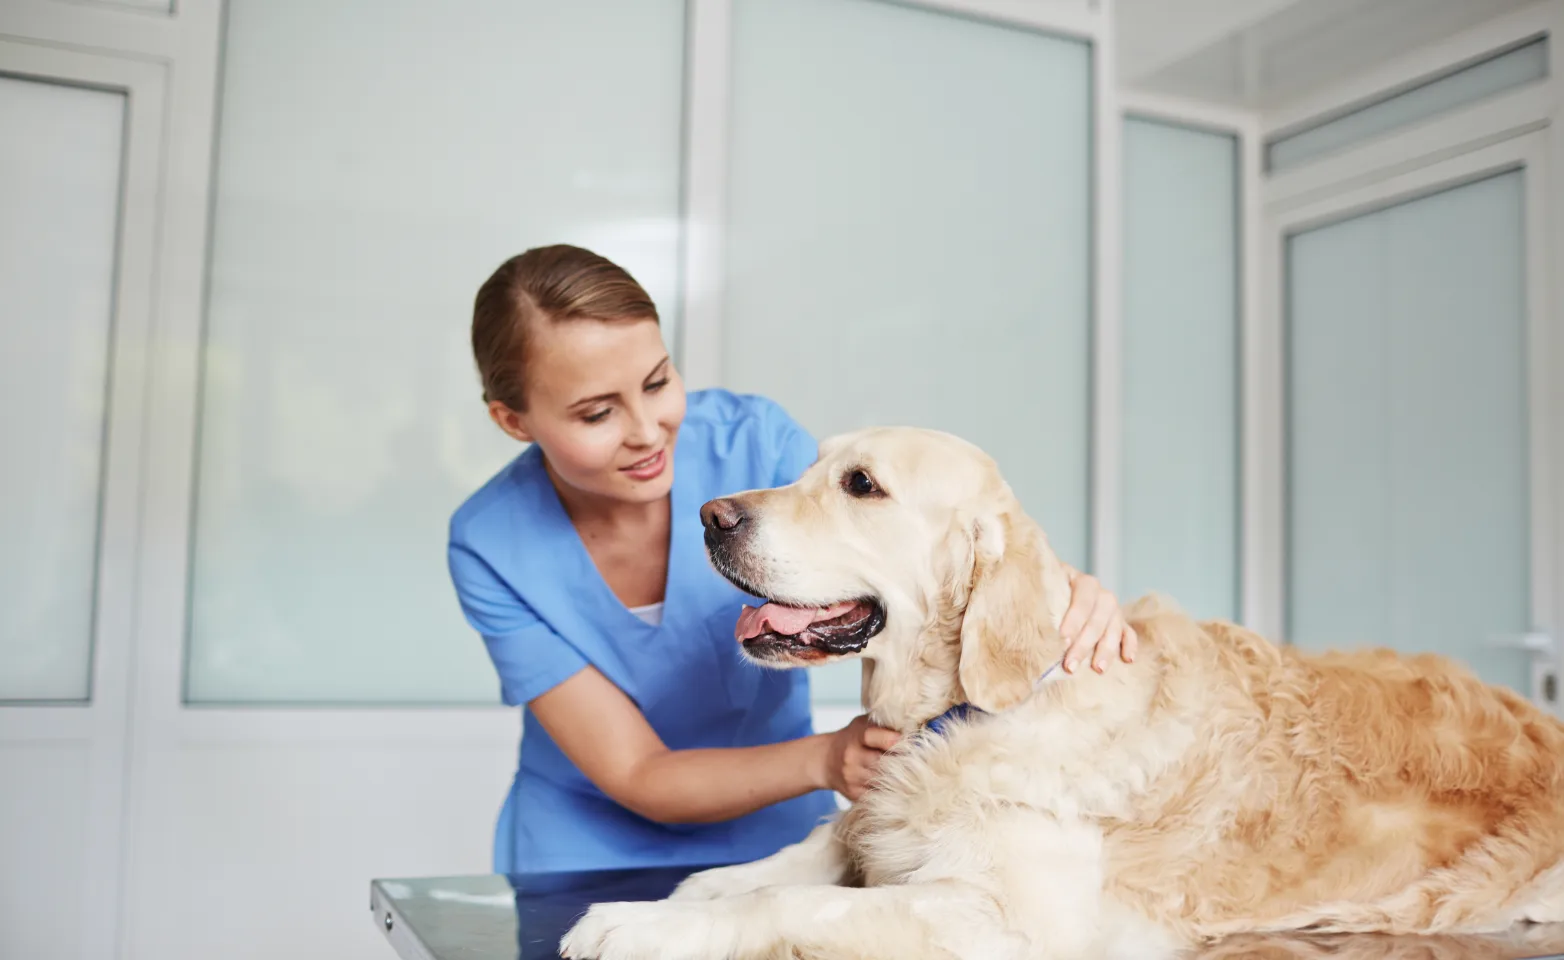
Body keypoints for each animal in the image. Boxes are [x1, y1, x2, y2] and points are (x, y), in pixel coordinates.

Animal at [559, 431, 1564, 960]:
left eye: (861, 485)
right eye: (809, 466)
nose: (710, 517)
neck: (957, 714)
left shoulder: (1006, 920)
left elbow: (792, 906)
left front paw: (629, 926)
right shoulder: (868, 825)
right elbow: (759, 869)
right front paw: (669, 898)